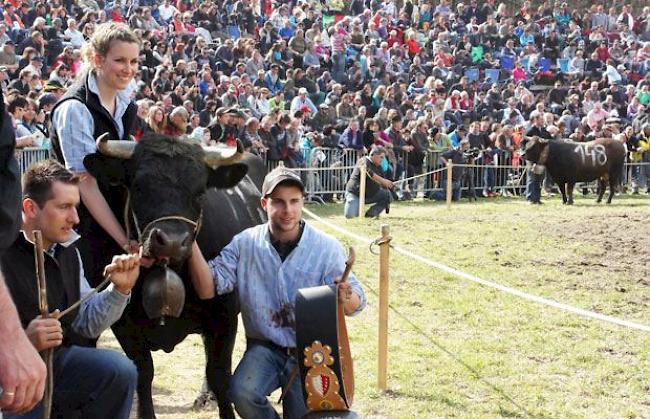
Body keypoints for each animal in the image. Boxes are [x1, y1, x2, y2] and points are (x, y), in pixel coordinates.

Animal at [83, 135, 266, 419]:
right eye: (138, 187)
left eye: (200, 192)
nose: (171, 241)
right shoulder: (123, 324)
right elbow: (143, 374)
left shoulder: (224, 316)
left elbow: (220, 376)